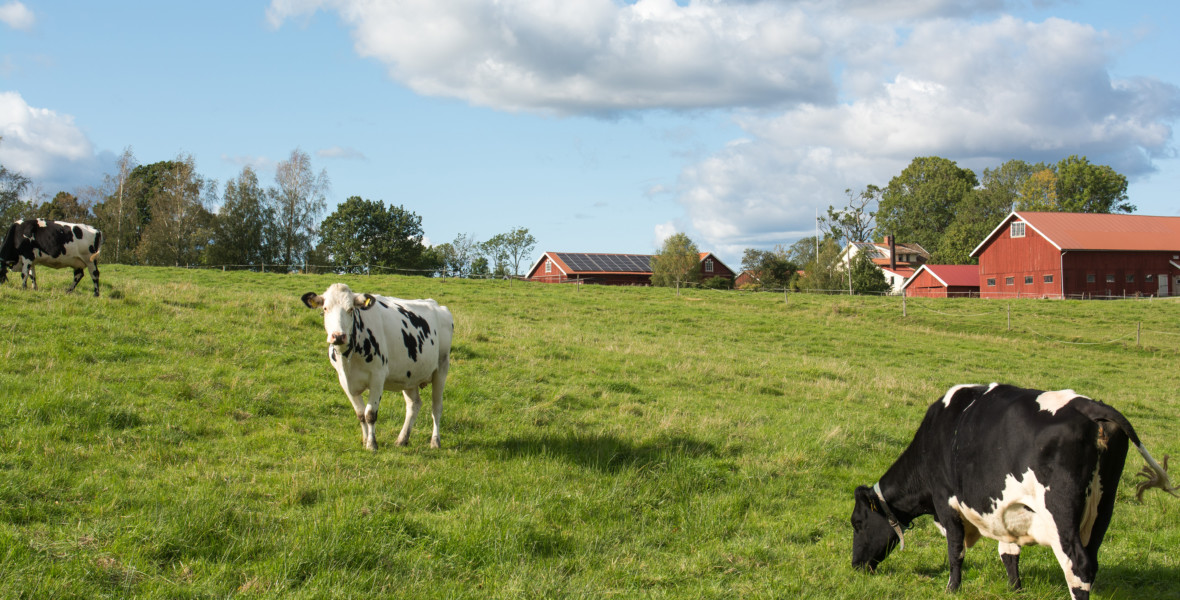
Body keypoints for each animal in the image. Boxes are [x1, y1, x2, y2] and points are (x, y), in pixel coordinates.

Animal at [302, 282, 453, 448]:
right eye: (325, 308)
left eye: (351, 309)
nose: (338, 336)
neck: (348, 358)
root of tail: (438, 306)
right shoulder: (344, 380)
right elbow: (360, 414)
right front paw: (364, 440)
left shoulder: (377, 377)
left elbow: (370, 414)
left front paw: (371, 444)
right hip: (410, 375)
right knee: (414, 405)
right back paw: (402, 439)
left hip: (441, 368)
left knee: (436, 407)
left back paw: (435, 441)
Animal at [854, 385, 1175, 600]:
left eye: (857, 523)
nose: (856, 566)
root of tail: (1090, 407)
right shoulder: (1004, 510)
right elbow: (1008, 553)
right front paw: (1015, 588)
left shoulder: (946, 501)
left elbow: (955, 551)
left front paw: (952, 588)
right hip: (1102, 507)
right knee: (1092, 560)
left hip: (1060, 512)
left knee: (1078, 565)